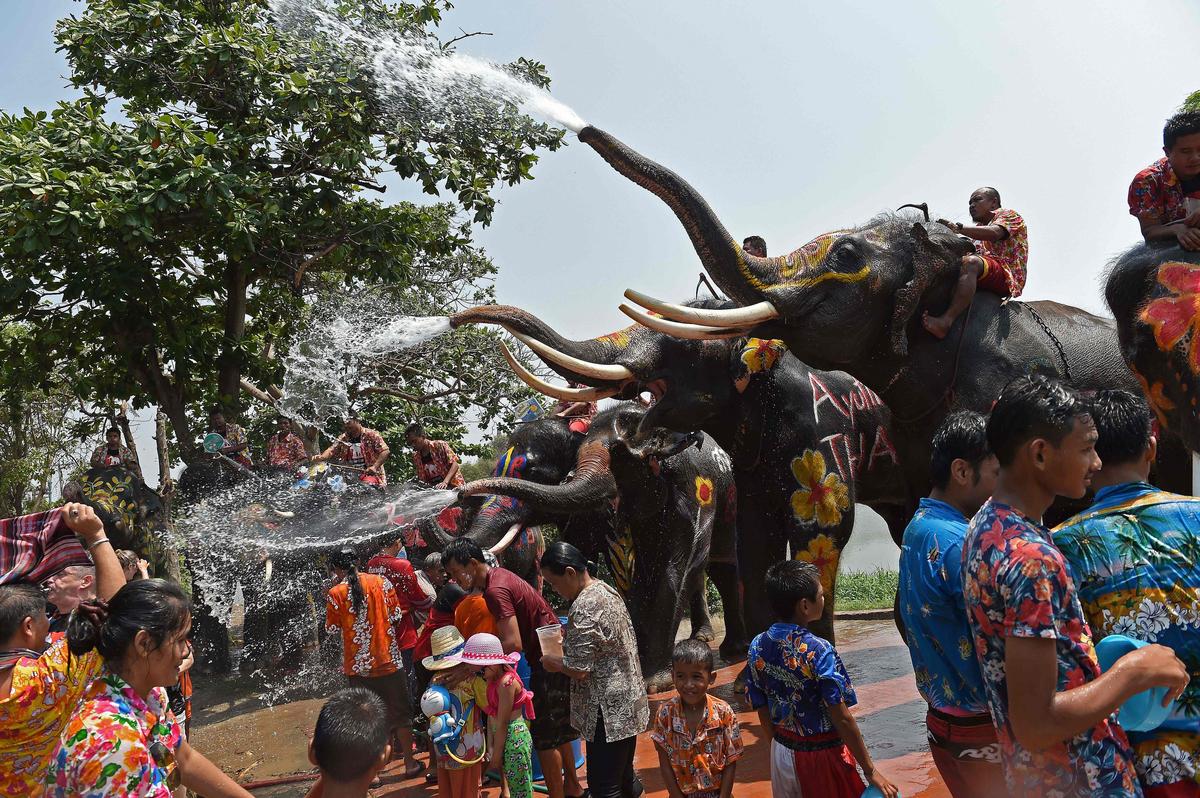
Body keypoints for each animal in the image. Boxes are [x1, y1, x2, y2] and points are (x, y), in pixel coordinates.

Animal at [453, 405, 744, 686]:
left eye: (533, 473)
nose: (460, 492)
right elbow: (629, 568)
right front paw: (636, 657)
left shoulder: (691, 487)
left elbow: (678, 564)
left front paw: (654, 682)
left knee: (719, 565)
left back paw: (726, 649)